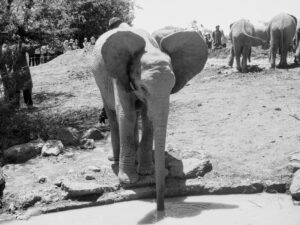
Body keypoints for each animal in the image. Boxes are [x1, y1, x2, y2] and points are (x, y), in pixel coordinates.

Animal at [92, 23, 209, 210]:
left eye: (172, 86)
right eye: (142, 87)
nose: (160, 209)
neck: (148, 48)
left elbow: (148, 118)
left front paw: (147, 171)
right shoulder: (120, 75)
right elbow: (126, 114)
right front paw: (128, 180)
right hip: (100, 82)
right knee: (113, 115)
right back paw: (115, 159)